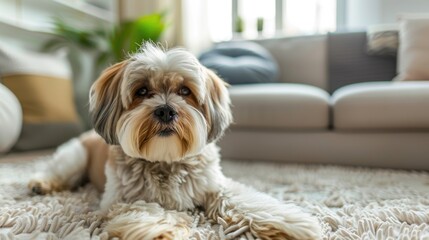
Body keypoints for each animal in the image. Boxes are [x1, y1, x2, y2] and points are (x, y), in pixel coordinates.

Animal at [27, 43, 320, 240]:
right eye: (142, 91)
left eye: (184, 91)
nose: (166, 110)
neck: (166, 160)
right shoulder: (119, 199)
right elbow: (148, 209)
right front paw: (157, 229)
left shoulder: (215, 185)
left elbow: (246, 200)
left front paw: (289, 224)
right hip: (74, 158)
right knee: (58, 172)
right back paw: (41, 184)